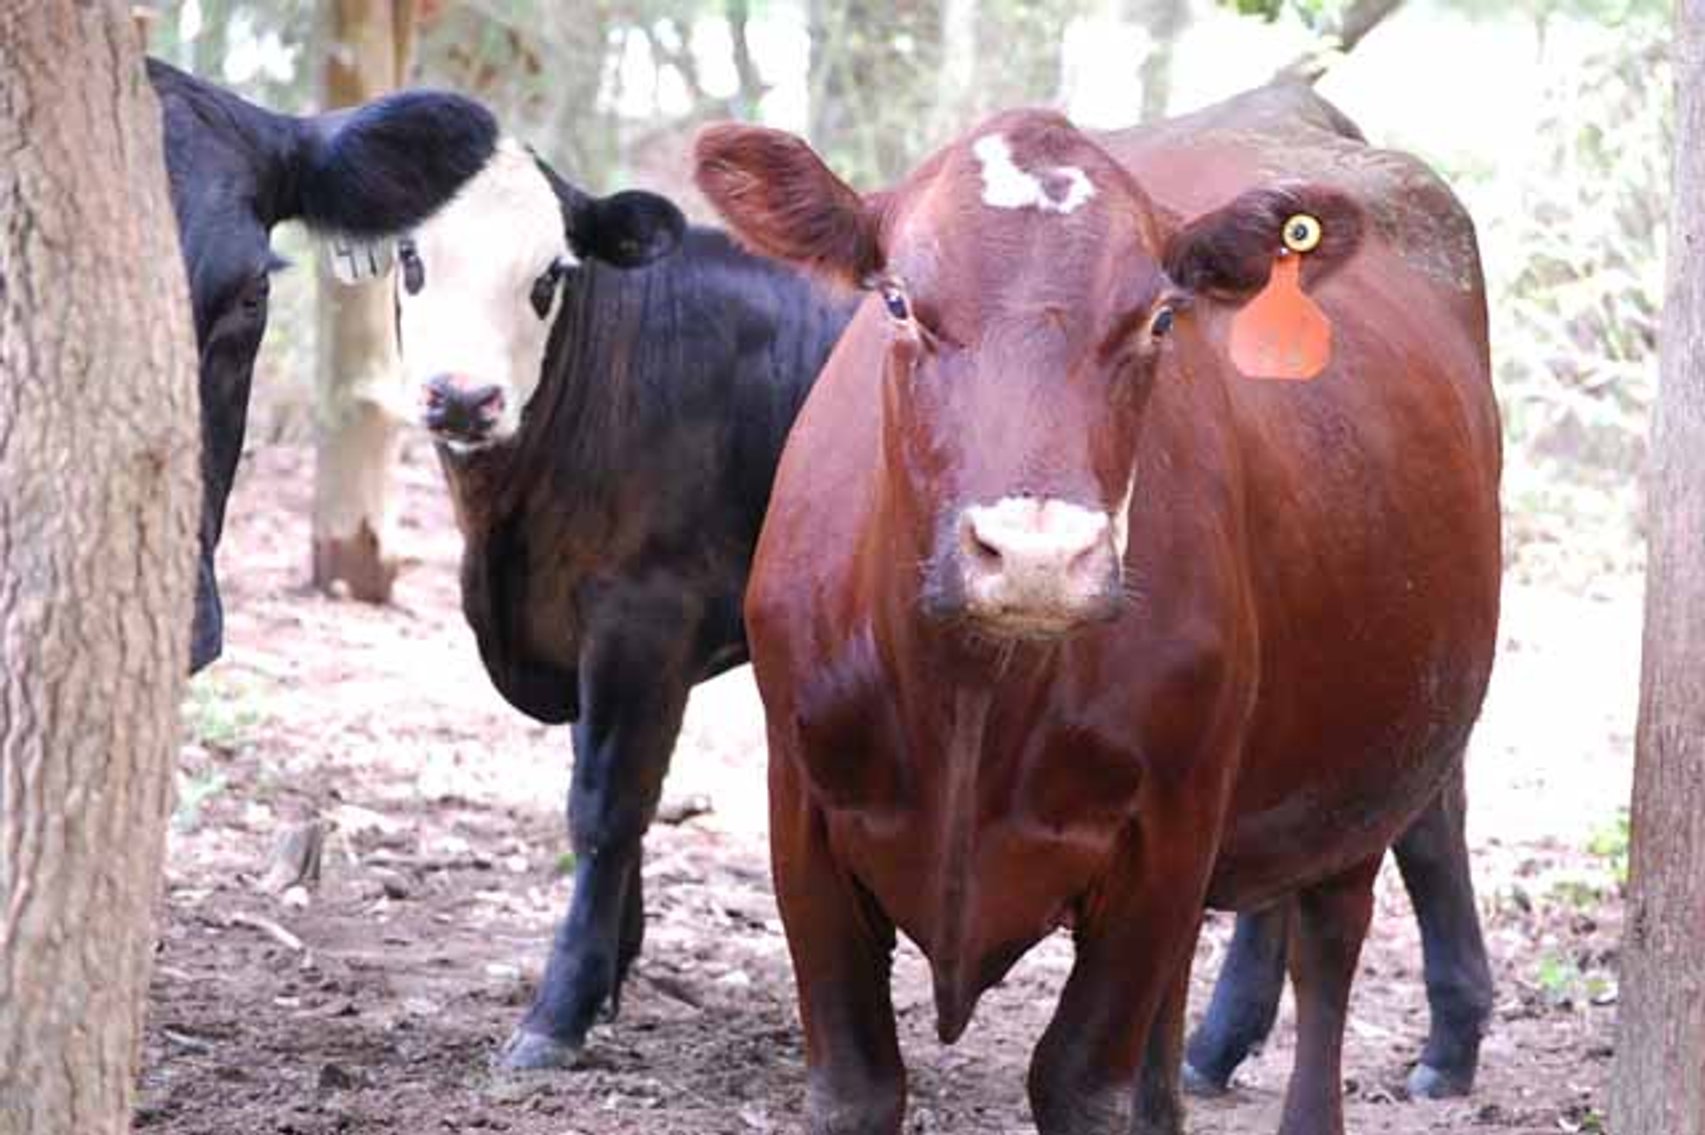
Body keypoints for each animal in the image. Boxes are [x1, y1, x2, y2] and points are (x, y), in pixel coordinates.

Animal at [386, 138, 856, 1069]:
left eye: (549, 276)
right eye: (411, 257)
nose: (461, 396)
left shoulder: (643, 616)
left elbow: (604, 804)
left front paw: (557, 1009)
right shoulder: (581, 628)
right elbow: (608, 787)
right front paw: (610, 970)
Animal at [694, 80, 1501, 1135]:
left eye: (1159, 317)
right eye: (899, 302)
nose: (1036, 555)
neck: (970, 698)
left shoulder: (1165, 834)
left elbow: (1081, 1081)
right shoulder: (803, 807)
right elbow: (855, 1085)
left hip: (1367, 762)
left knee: (1331, 941)